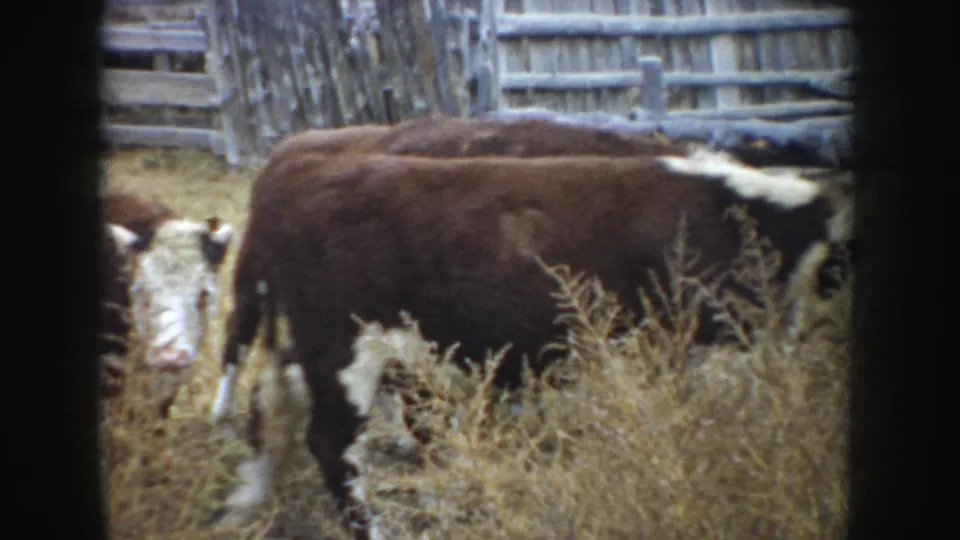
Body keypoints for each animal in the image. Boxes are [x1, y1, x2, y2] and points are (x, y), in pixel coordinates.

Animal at [212, 149, 854, 539]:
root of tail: (305, 169)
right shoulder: (697, 350)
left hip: (323, 350)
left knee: (275, 410)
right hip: (346, 351)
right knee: (332, 446)